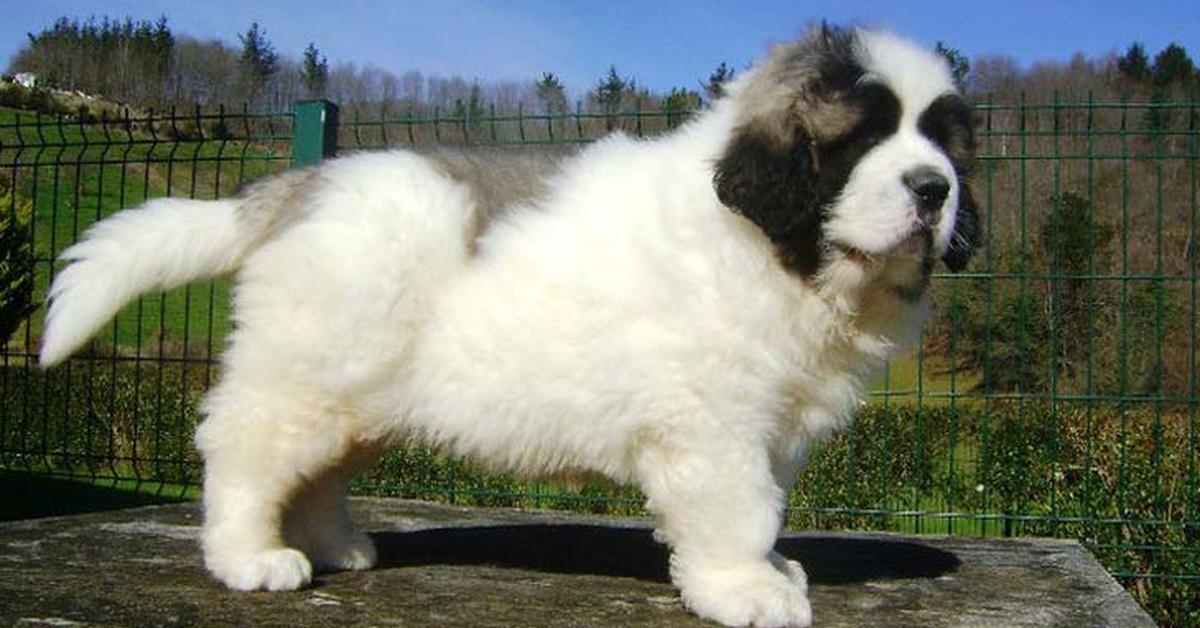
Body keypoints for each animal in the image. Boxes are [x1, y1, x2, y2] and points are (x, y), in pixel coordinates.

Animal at [42, 24, 974, 628]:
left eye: (940, 138)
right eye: (859, 141)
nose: (934, 189)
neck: (773, 244)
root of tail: (298, 188)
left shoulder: (770, 422)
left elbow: (766, 506)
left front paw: (771, 567)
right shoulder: (712, 425)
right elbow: (738, 509)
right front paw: (745, 589)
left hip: (359, 393)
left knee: (316, 473)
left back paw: (334, 544)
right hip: (308, 371)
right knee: (245, 449)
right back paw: (248, 557)